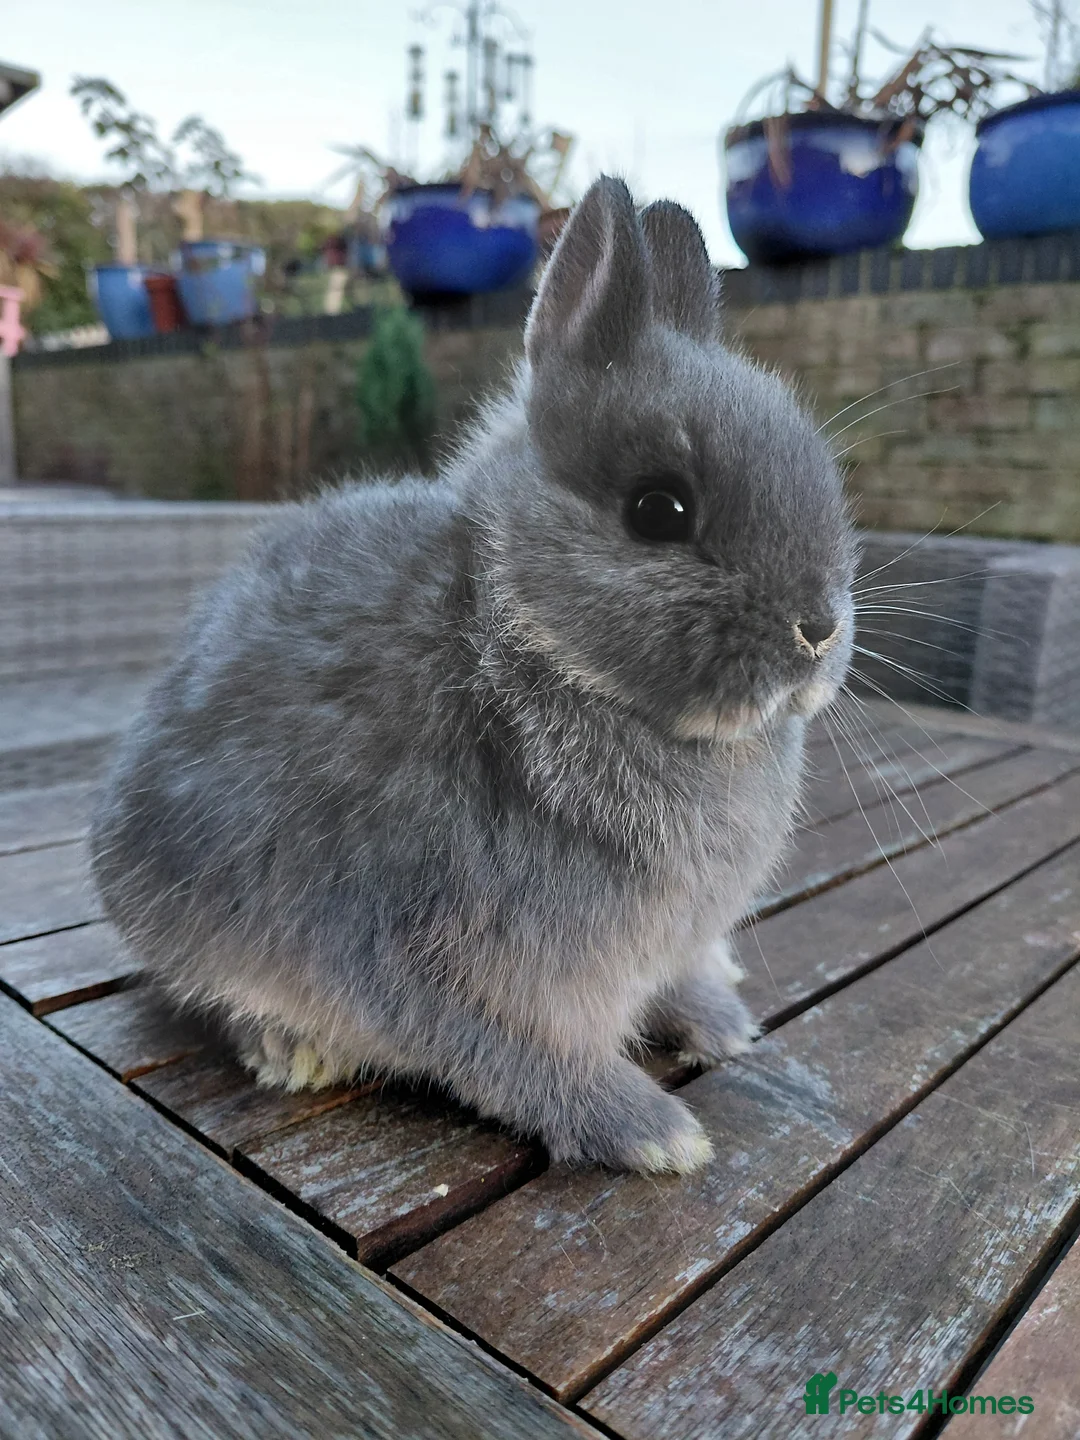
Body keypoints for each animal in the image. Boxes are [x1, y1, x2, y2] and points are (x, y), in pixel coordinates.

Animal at [90, 176, 855, 1174]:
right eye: (659, 510)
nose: (819, 629)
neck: (523, 642)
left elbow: (672, 985)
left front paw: (720, 1025)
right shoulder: (431, 954)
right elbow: (520, 1062)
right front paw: (655, 1135)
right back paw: (291, 1051)